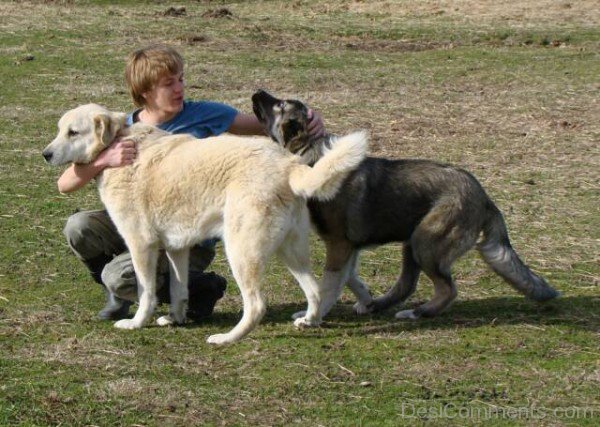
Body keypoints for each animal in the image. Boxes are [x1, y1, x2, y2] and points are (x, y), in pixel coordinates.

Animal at [42, 103, 368, 344]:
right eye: (59, 130)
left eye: (73, 132)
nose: (45, 154)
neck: (119, 144)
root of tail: (289, 164)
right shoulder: (176, 249)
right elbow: (177, 289)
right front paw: (175, 319)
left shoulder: (141, 244)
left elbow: (146, 292)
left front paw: (136, 323)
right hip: (291, 251)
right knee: (315, 291)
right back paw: (308, 321)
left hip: (241, 251)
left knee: (257, 305)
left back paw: (226, 338)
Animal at [251, 91, 560, 324]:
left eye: (279, 105)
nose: (257, 91)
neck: (311, 154)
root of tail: (484, 198)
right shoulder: (349, 248)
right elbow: (348, 281)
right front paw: (350, 304)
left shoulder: (339, 245)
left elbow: (328, 285)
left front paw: (312, 318)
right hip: (412, 244)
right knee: (407, 285)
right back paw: (380, 305)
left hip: (426, 243)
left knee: (448, 289)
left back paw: (418, 312)